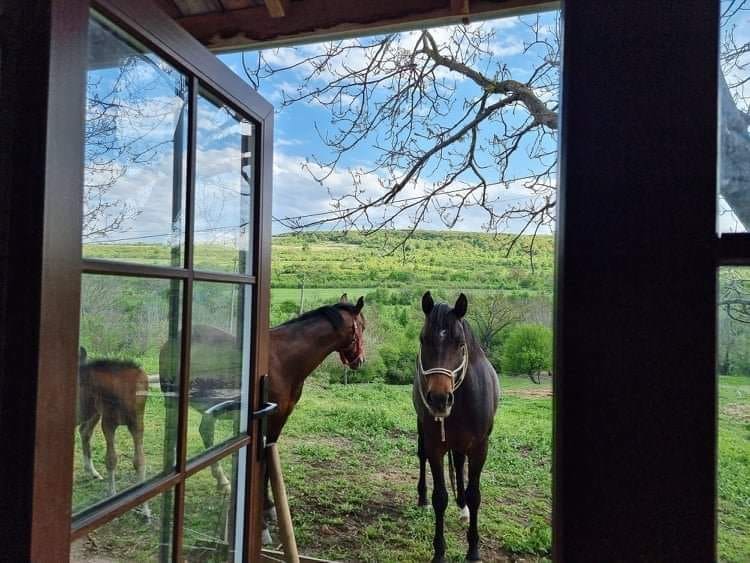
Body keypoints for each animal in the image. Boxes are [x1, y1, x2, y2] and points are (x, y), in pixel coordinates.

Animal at [78, 348, 151, 516]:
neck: (120, 391)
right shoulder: (108, 423)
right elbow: (111, 459)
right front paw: (112, 496)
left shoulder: (137, 424)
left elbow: (139, 461)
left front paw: (145, 509)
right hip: (96, 412)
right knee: (84, 432)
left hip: (94, 412)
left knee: (85, 432)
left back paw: (92, 471)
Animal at [414, 294, 502, 560]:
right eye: (423, 339)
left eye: (460, 343)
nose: (439, 399)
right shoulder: (435, 447)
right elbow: (440, 498)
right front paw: (439, 552)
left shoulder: (480, 448)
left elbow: (475, 496)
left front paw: (473, 551)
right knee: (421, 456)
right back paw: (422, 498)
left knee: (461, 463)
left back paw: (462, 505)